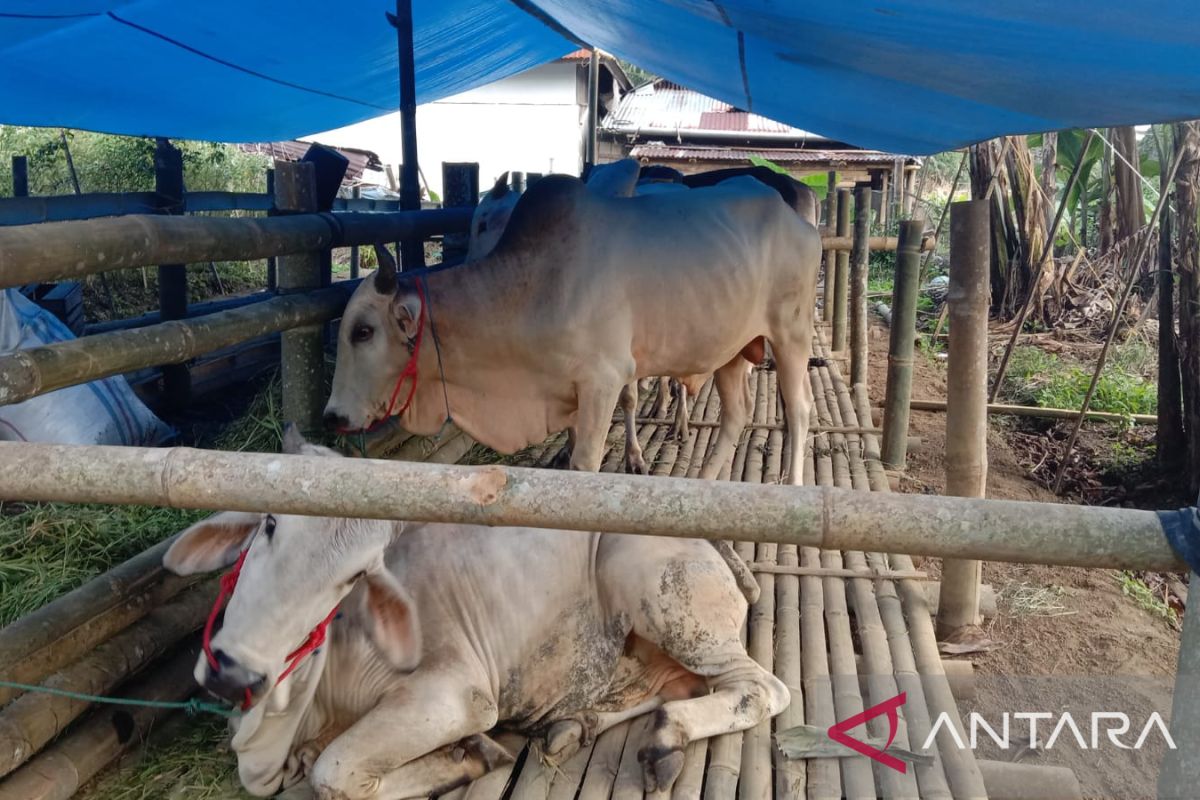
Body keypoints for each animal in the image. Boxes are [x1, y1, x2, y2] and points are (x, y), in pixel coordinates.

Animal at [169, 429, 787, 800]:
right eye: (270, 522)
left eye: (354, 577)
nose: (234, 673)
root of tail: (711, 533)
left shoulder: (454, 695)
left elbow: (335, 773)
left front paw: (470, 755)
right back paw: (571, 727)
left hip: (660, 595)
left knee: (761, 688)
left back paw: (664, 740)